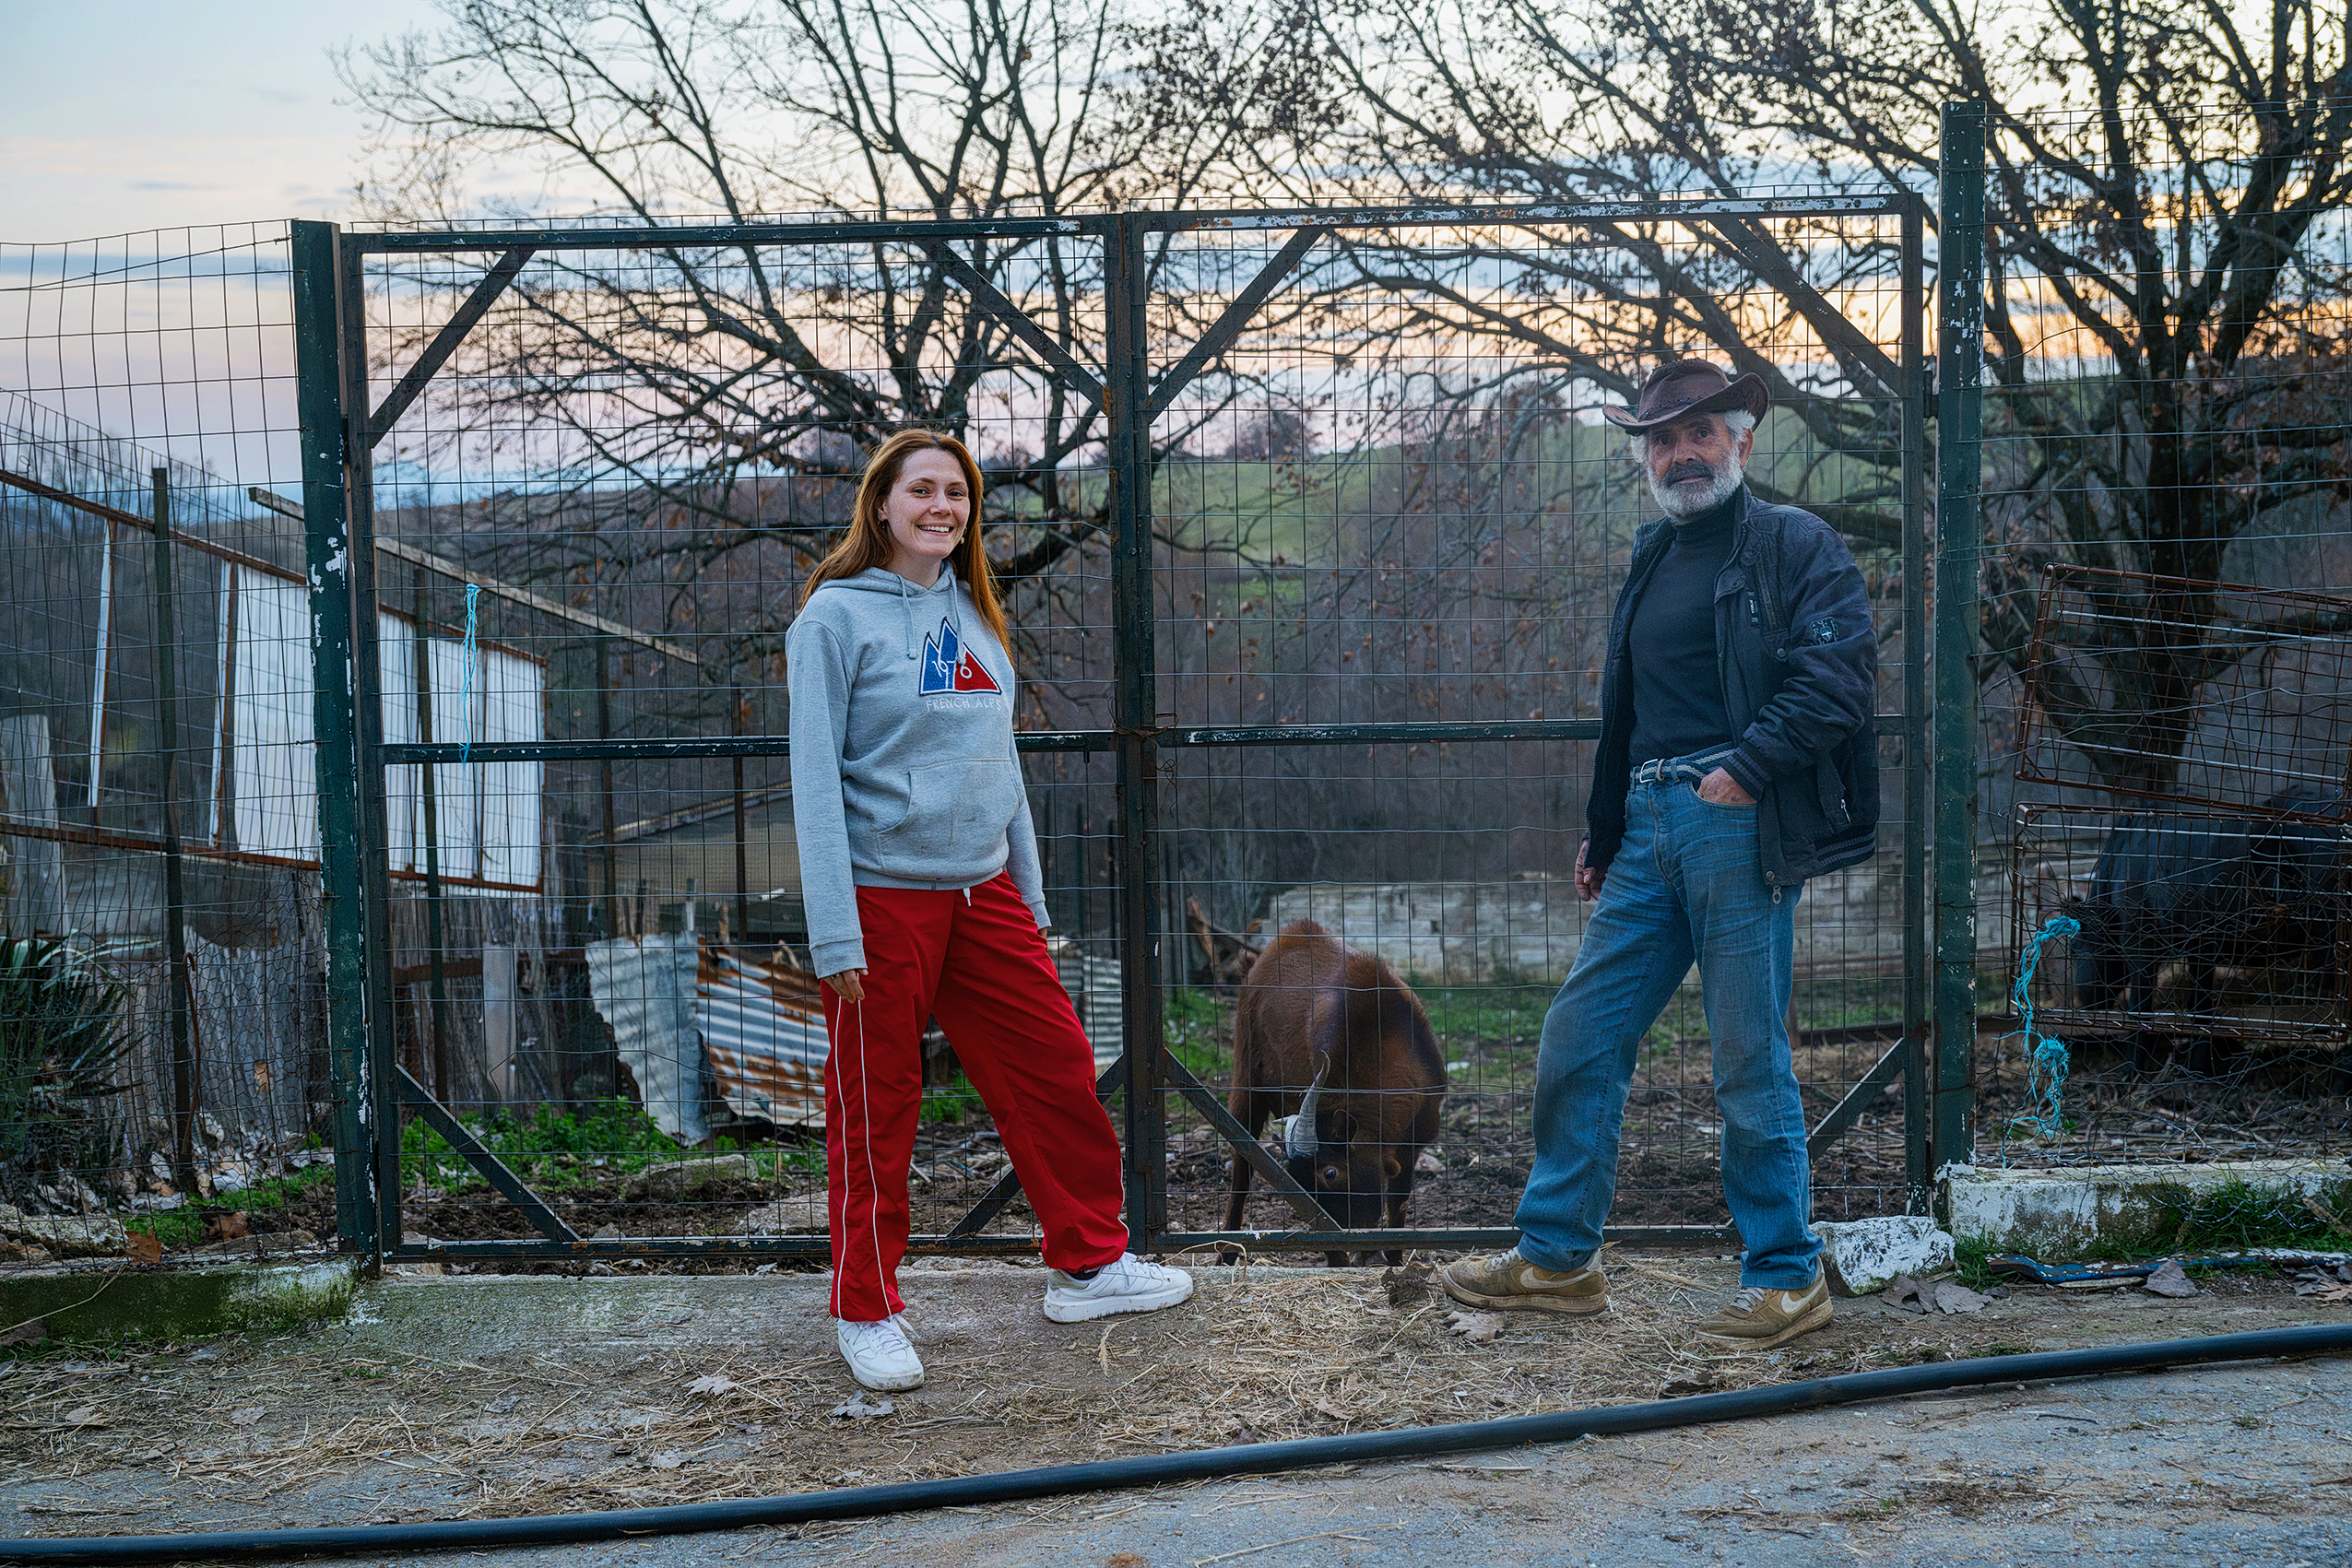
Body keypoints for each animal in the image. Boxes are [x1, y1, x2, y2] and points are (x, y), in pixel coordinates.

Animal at [1221, 920, 1447, 1265]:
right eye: (1298, 1184)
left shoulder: (1415, 1140)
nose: (1342, 1232)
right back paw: (1226, 1254)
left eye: (1330, 1172)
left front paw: (1392, 1261)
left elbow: (1399, 1206)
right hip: (1246, 1081)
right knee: (1241, 1171)